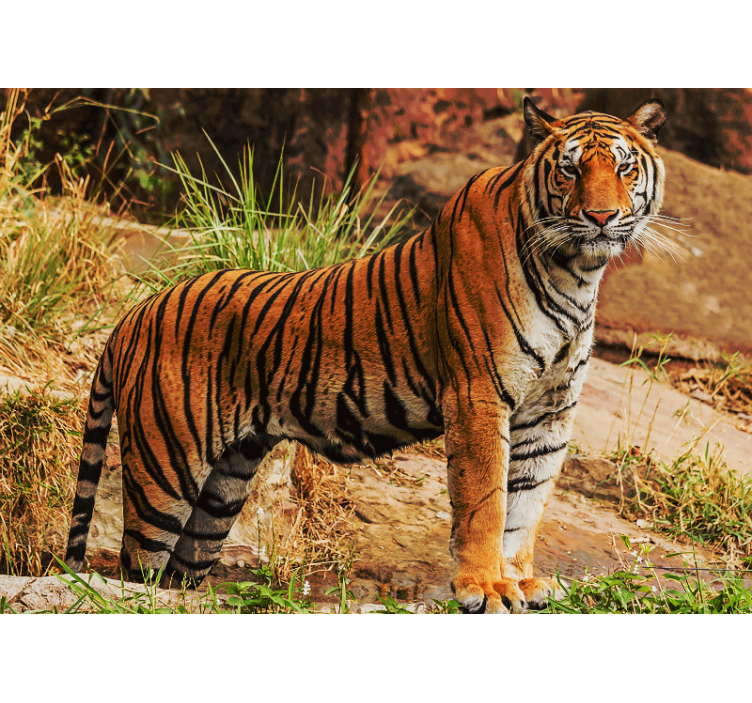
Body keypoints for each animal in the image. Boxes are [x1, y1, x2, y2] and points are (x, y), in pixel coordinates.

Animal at [65, 97, 667, 613]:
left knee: (178, 574)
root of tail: (134, 313)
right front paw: (486, 588)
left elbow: (526, 504)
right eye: (569, 170)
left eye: (624, 169)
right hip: (164, 472)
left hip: (221, 491)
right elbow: (486, 503)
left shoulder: (550, 410)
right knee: (134, 569)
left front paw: (520, 581)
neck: (576, 272)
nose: (601, 217)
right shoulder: (479, 396)